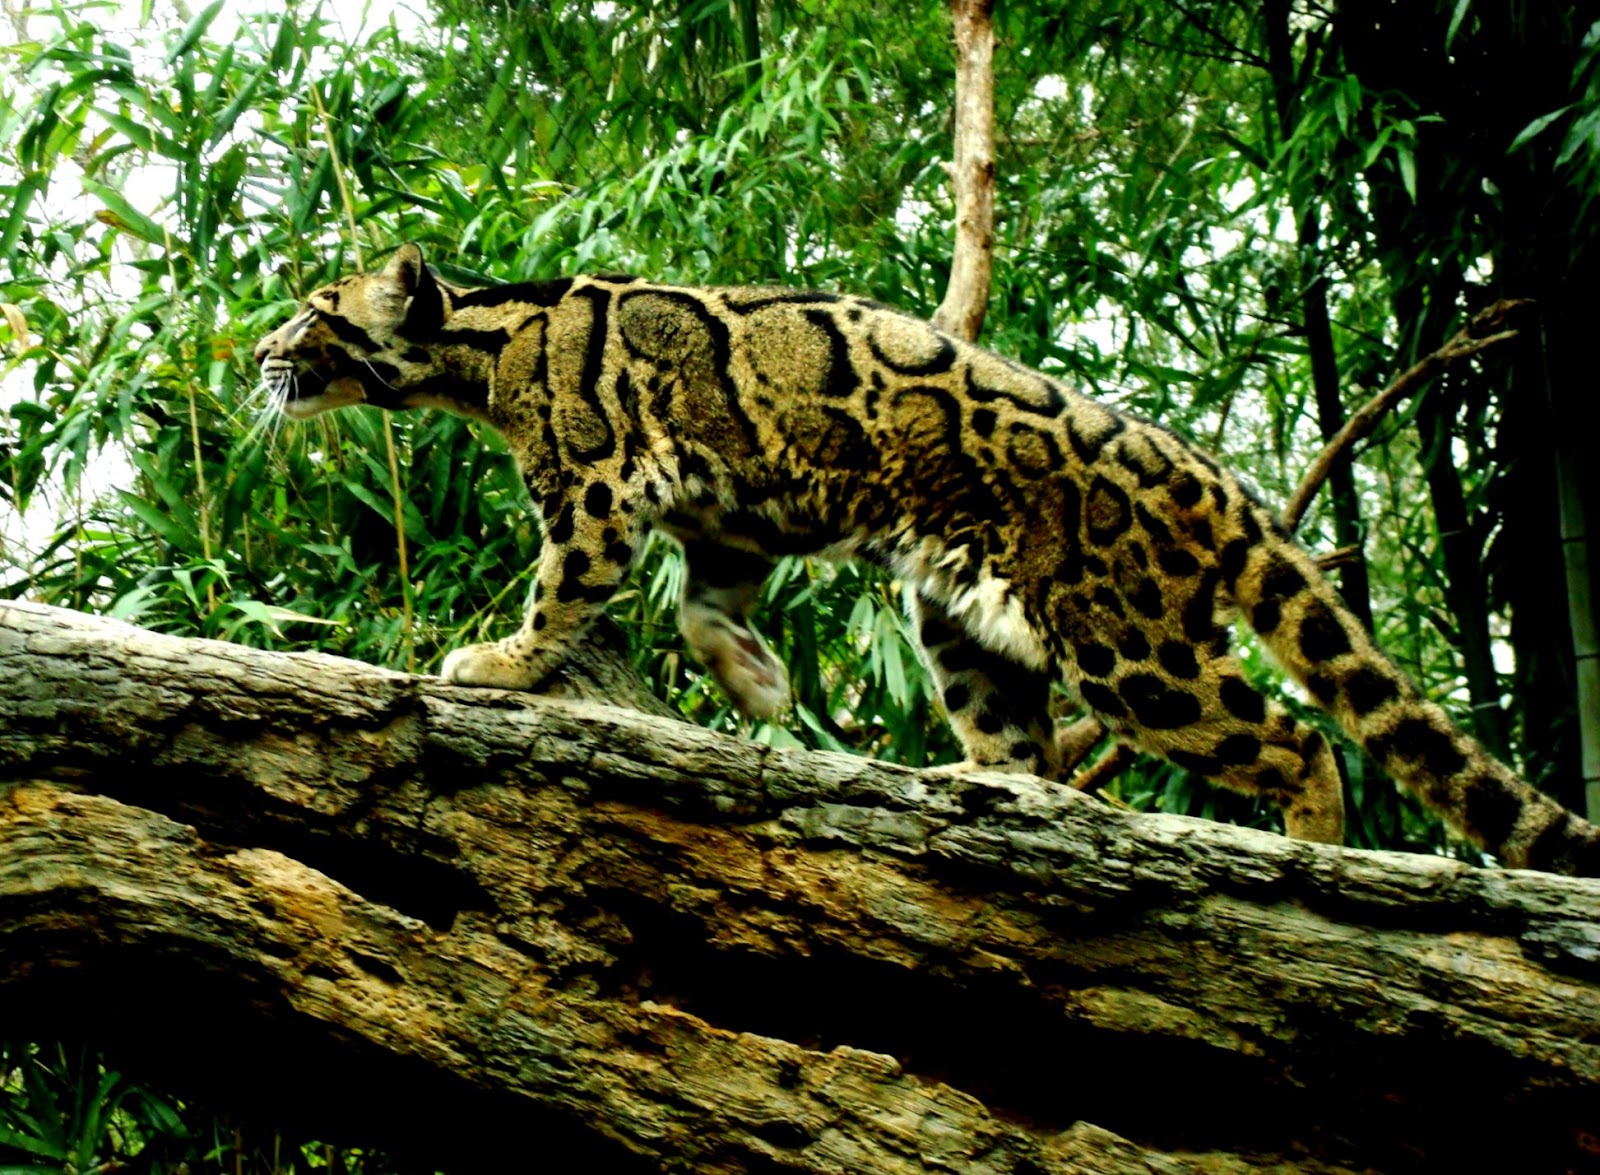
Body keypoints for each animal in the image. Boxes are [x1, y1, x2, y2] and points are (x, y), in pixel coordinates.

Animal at [253, 243, 1600, 875]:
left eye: (316, 312)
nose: (258, 353)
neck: (487, 347)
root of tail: (1210, 475)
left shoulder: (592, 483)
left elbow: (563, 588)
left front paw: (501, 661)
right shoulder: (732, 519)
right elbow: (704, 610)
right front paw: (759, 683)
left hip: (1128, 646)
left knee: (1296, 738)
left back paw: (1311, 849)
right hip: (963, 620)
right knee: (1023, 744)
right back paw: (979, 783)